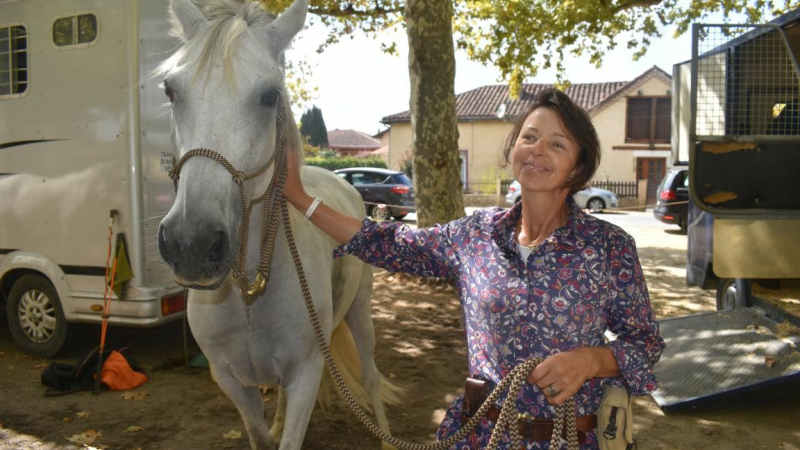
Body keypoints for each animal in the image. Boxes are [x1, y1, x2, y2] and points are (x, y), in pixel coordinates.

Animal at [157, 1, 398, 448]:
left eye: (270, 96)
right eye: (170, 91)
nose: (191, 244)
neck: (249, 294)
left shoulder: (306, 374)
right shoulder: (231, 381)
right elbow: (262, 435)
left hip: (360, 313)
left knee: (372, 379)